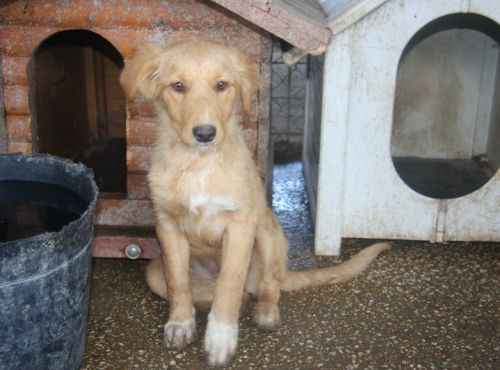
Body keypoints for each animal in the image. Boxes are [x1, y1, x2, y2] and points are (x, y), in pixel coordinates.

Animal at [121, 39, 390, 366]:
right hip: (154, 271)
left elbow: (229, 283)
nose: (205, 134)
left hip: (267, 231)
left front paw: (220, 339)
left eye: (222, 85)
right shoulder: (167, 224)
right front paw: (180, 324)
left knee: (266, 286)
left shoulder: (240, 226)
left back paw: (265, 312)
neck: (199, 164)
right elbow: (178, 281)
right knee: (223, 291)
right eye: (178, 86)